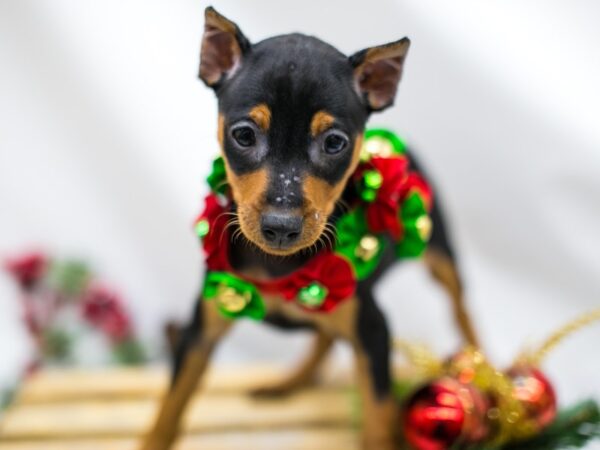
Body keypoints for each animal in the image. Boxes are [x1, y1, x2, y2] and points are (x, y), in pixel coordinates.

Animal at [142, 7, 478, 450]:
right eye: (243, 135)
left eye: (334, 143)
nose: (280, 227)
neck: (277, 265)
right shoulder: (203, 324)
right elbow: (171, 405)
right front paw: (153, 436)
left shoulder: (373, 331)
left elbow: (377, 416)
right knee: (325, 336)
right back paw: (291, 382)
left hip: (439, 253)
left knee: (461, 310)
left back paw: (486, 371)